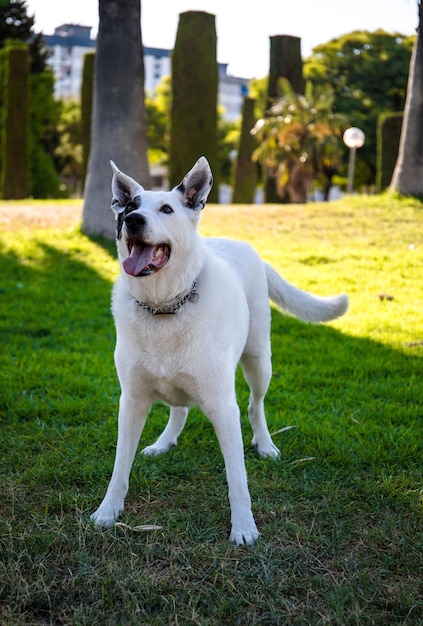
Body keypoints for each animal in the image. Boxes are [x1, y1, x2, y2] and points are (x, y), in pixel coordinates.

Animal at [91, 155, 350, 540]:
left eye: (166, 209)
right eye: (129, 208)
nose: (134, 220)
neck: (165, 307)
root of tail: (242, 246)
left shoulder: (223, 406)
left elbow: (237, 478)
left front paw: (243, 527)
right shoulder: (132, 402)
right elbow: (120, 467)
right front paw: (108, 511)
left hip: (259, 360)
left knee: (256, 406)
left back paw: (266, 444)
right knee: (180, 410)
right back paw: (164, 442)